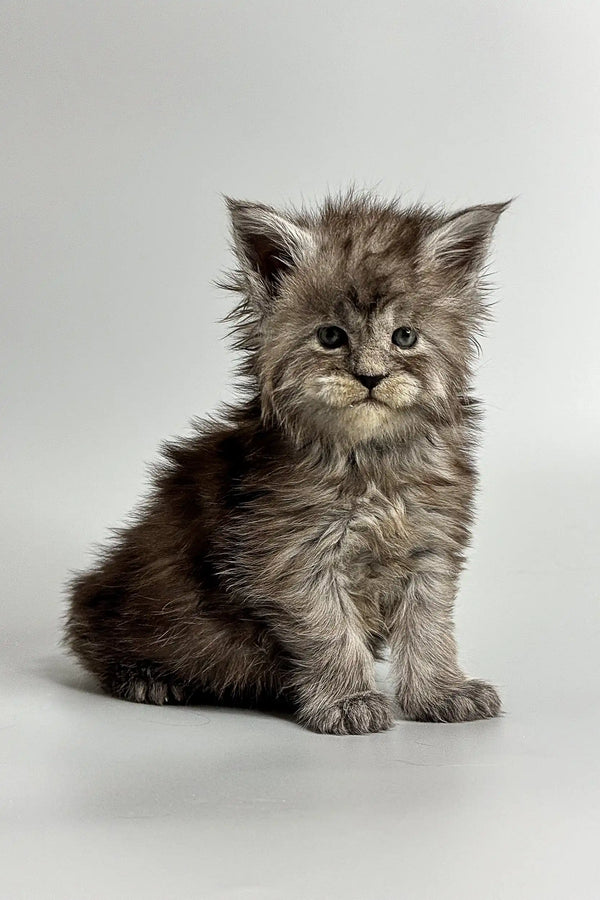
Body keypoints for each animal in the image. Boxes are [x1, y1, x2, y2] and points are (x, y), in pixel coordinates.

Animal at [64, 190, 506, 732]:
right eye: (331, 337)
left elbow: (429, 629)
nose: (370, 376)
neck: (368, 463)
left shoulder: (431, 549)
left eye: (404, 337)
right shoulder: (292, 558)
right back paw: (149, 678)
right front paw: (347, 700)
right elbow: (331, 631)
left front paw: (442, 692)